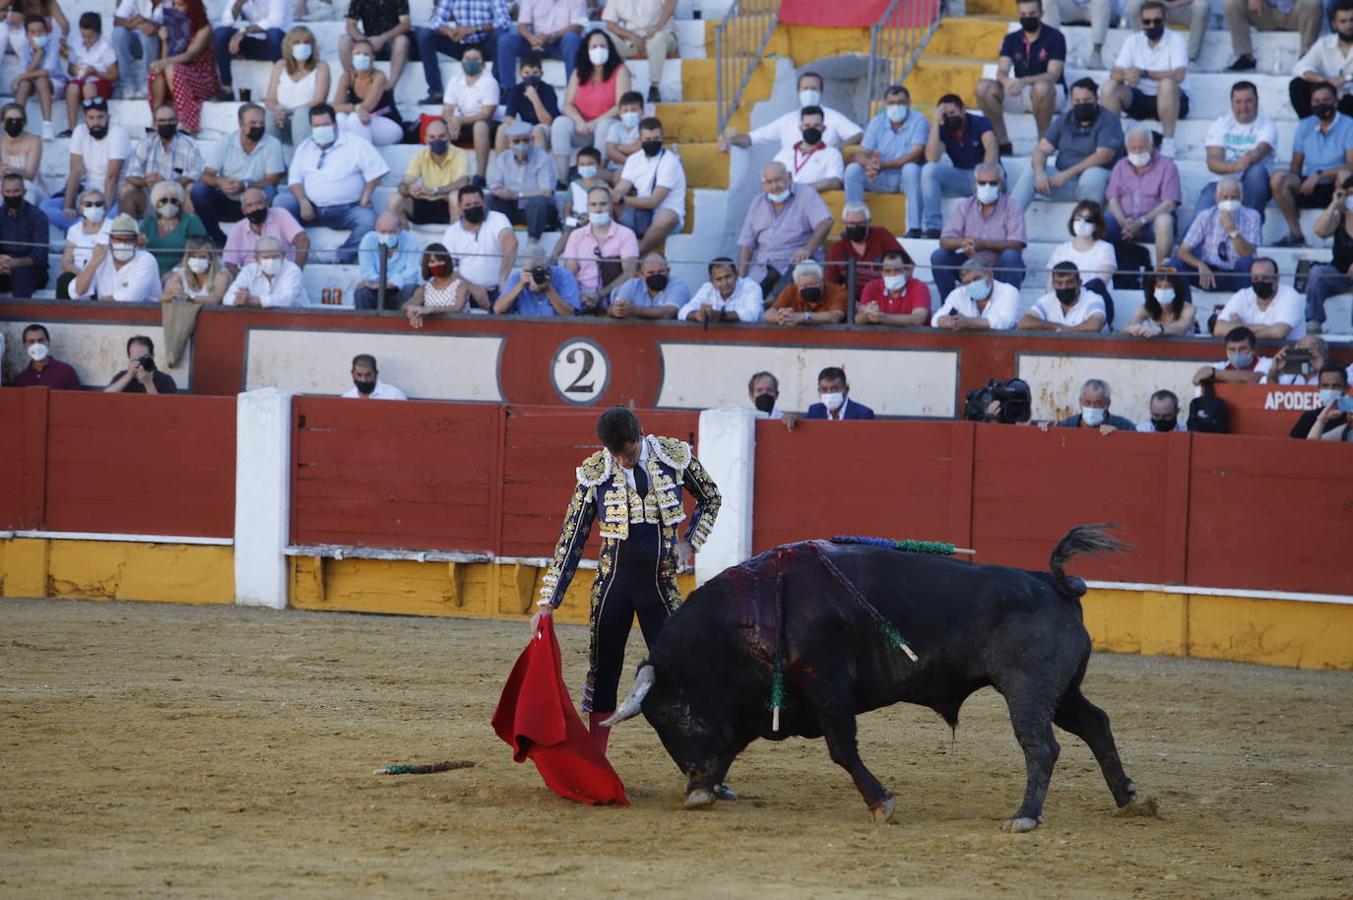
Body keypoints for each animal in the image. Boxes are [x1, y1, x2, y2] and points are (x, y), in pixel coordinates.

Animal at [606, 527, 1141, 828]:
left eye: (668, 713)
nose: (691, 780)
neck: (750, 613)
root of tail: (1054, 583)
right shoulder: (757, 709)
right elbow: (732, 747)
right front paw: (706, 792)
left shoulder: (827, 689)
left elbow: (842, 750)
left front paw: (882, 804)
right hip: (1062, 692)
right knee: (1095, 723)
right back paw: (1129, 799)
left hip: (1028, 690)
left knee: (1042, 745)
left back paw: (1025, 816)